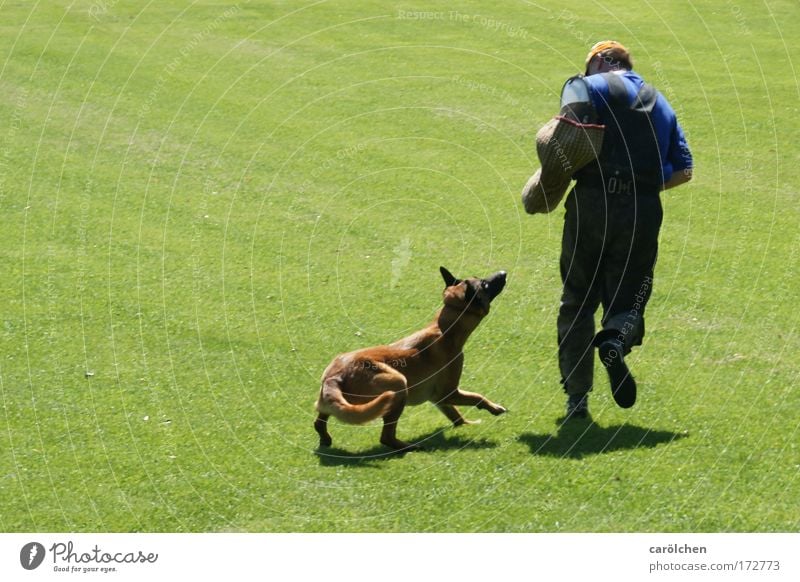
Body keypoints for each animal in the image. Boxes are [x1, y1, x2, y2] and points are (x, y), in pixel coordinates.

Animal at [316, 266, 510, 454]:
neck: (446, 328)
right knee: (386, 437)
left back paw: (325, 439)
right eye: (484, 284)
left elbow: (456, 416)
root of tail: (334, 376)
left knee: (319, 421)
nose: (504, 272)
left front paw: (467, 425)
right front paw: (494, 408)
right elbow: (477, 397)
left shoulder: (439, 398)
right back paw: (409, 448)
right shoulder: (449, 392)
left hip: (332, 403)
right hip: (398, 384)